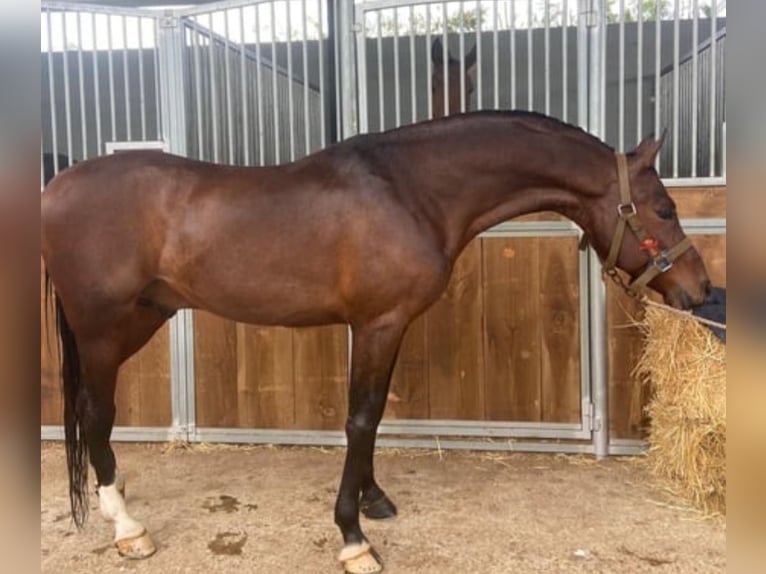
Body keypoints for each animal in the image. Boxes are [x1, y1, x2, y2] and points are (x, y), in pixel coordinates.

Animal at [41, 110, 711, 573]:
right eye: (663, 207)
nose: (699, 290)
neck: (411, 192)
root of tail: (57, 188)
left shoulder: (385, 326)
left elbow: (374, 414)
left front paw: (373, 500)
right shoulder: (378, 323)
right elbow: (360, 419)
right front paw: (354, 540)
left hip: (140, 319)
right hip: (103, 329)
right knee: (95, 413)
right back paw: (127, 527)